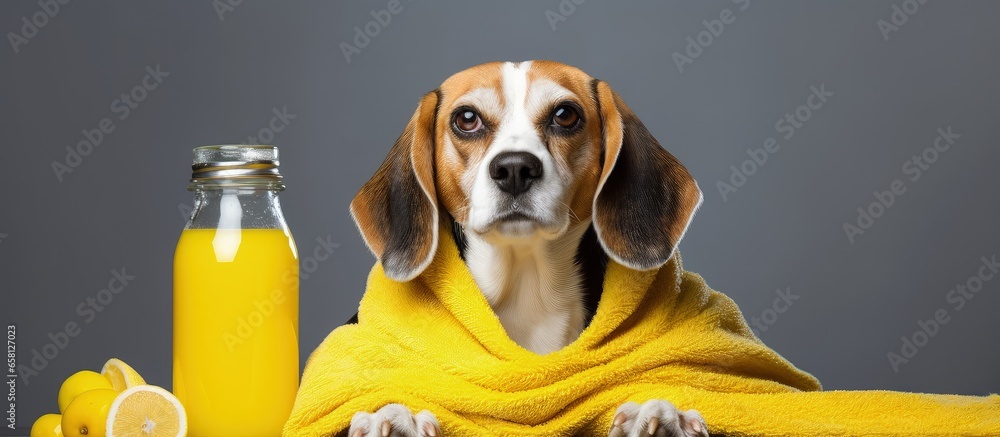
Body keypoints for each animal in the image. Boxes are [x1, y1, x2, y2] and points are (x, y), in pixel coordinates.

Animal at [348, 61, 708, 436]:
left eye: (565, 115)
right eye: (467, 118)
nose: (514, 168)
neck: (527, 283)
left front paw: (663, 414)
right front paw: (394, 415)